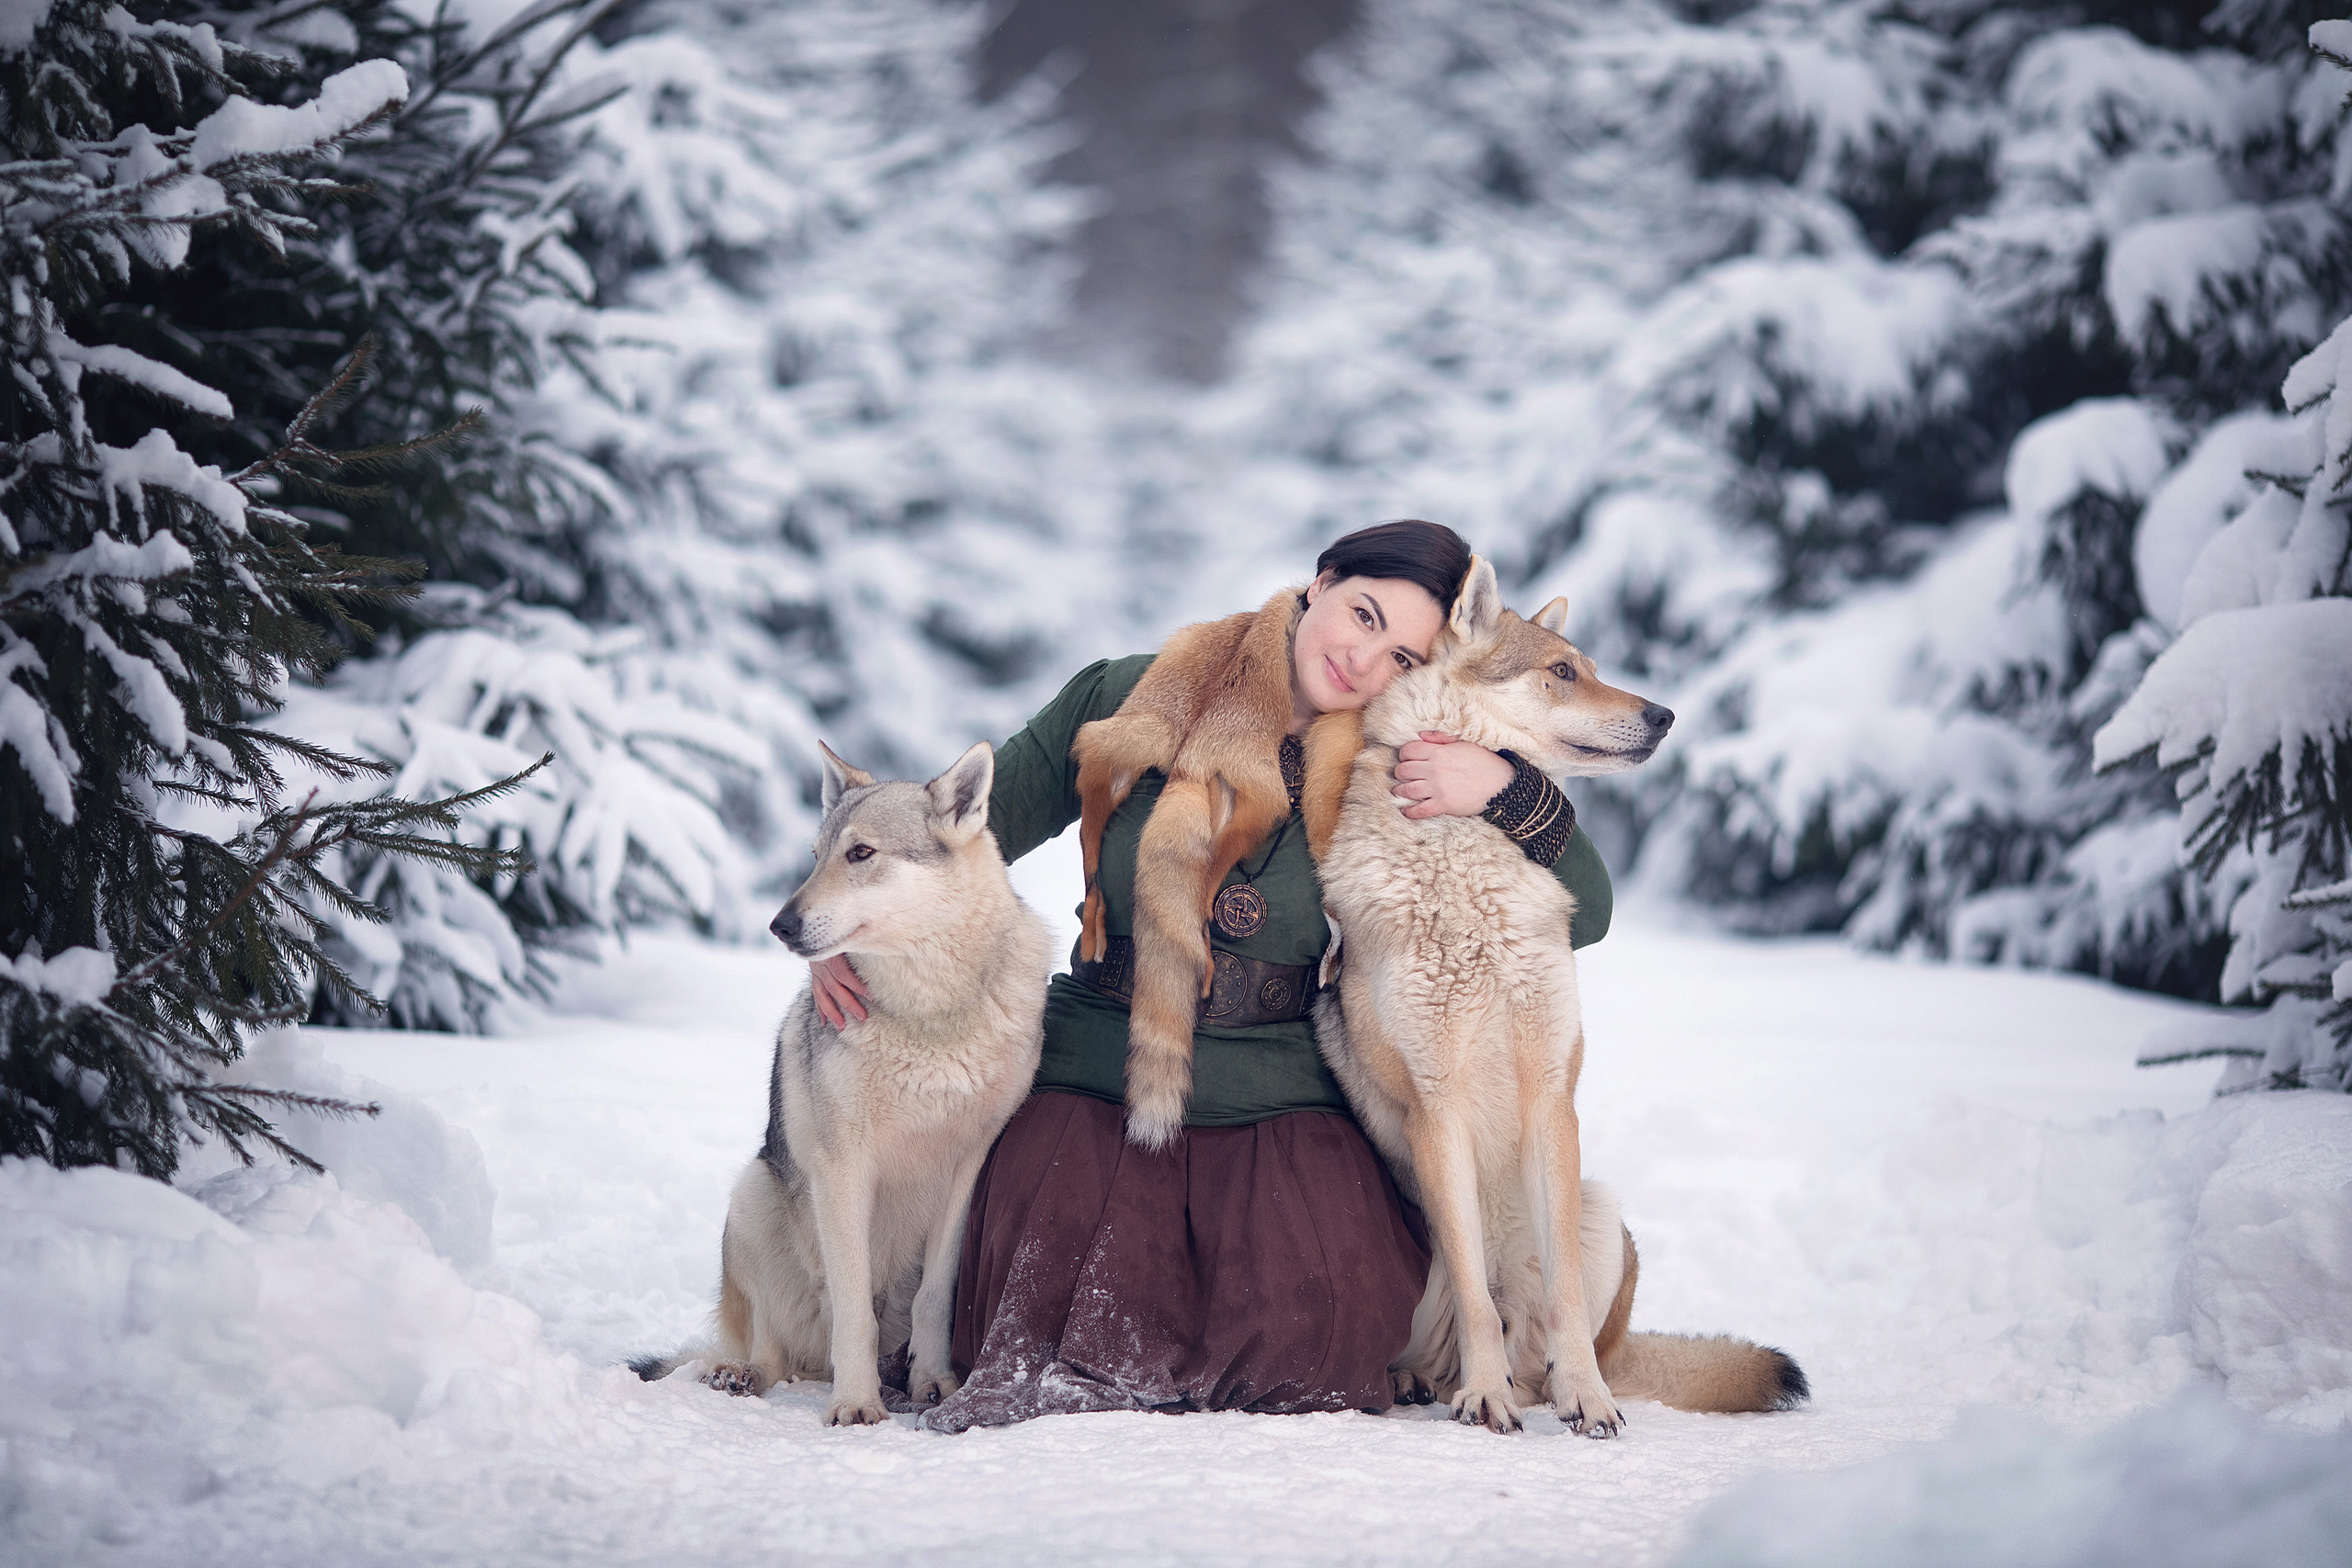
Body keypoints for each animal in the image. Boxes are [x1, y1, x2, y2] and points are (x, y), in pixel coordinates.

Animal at [630, 740, 1055, 1426]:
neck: (927, 1018)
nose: (780, 924)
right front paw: (856, 1406)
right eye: (816, 856)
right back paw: (736, 1375)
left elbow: (937, 1295)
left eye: (861, 853)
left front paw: (934, 1383)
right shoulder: (844, 1165)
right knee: (768, 1352)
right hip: (752, 1196)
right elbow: (852, 1308)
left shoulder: (969, 1164)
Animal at [1303, 557, 1806, 1436]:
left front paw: (1587, 1397)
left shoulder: (1551, 1096)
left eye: (1594, 668)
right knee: (1462, 1332)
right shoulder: (1436, 1108)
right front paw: (1485, 1395)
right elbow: (1475, 1299)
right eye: (1563, 671)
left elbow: (1566, 1296)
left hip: (1604, 1211)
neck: (1472, 879)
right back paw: (1434, 1384)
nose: (1665, 714)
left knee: (1548, 1346)